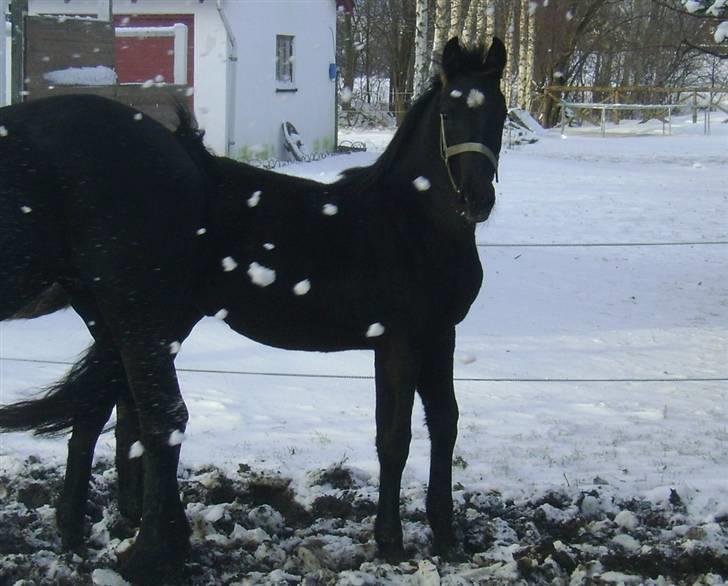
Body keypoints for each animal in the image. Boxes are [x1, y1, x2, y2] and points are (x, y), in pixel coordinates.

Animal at [0, 38, 506, 580]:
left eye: (498, 112)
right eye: (450, 111)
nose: (476, 199)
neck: (410, 222)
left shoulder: (438, 336)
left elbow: (445, 424)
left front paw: (447, 536)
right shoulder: (399, 342)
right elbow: (394, 437)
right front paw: (391, 541)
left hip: (136, 322)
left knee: (107, 410)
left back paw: (98, 527)